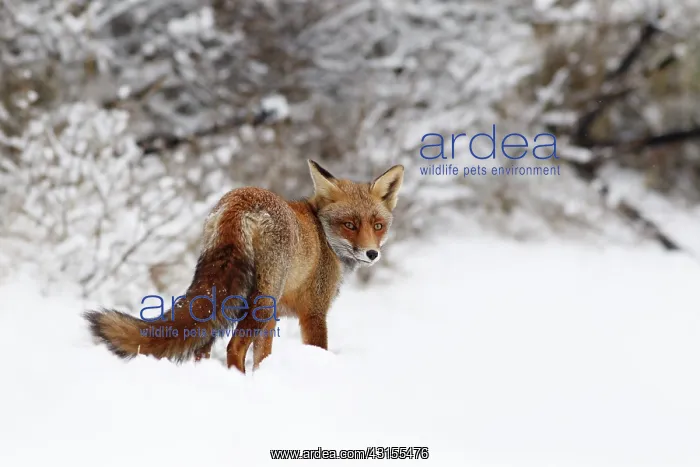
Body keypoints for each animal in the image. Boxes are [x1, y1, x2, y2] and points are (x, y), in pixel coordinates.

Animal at [84, 160, 404, 373]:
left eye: (378, 225)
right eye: (350, 225)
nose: (372, 253)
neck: (322, 235)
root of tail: (240, 200)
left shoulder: (274, 318)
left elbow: (263, 357)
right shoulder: (313, 312)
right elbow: (316, 348)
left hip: (230, 296)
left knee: (203, 344)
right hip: (261, 301)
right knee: (232, 347)